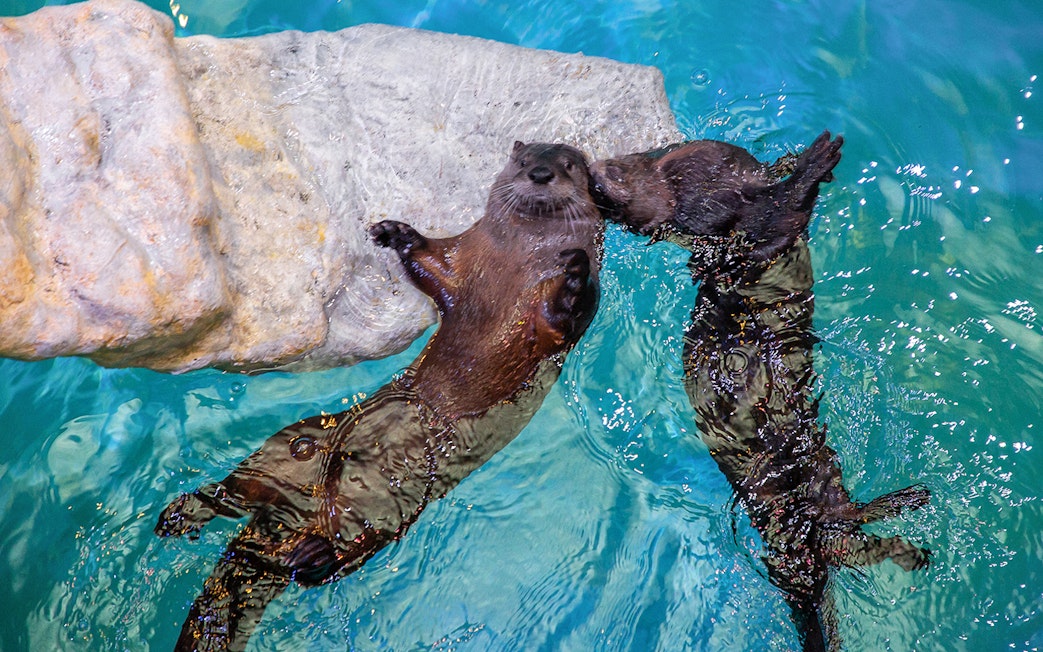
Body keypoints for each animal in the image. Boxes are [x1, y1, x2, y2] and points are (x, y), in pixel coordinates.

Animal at [155, 141, 603, 652]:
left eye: (568, 165)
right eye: (525, 159)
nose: (542, 173)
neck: (513, 265)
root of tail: (297, 522)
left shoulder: (549, 328)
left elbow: (566, 316)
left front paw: (574, 276)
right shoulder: (459, 261)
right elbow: (426, 264)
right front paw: (394, 232)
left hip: (389, 517)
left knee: (328, 560)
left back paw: (304, 554)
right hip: (298, 442)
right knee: (240, 488)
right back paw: (181, 515)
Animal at [594, 133, 931, 651]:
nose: (596, 175)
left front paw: (798, 161)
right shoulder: (740, 234)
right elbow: (780, 215)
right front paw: (818, 157)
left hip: (821, 472)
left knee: (845, 527)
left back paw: (907, 505)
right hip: (789, 508)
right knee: (841, 541)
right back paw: (910, 544)